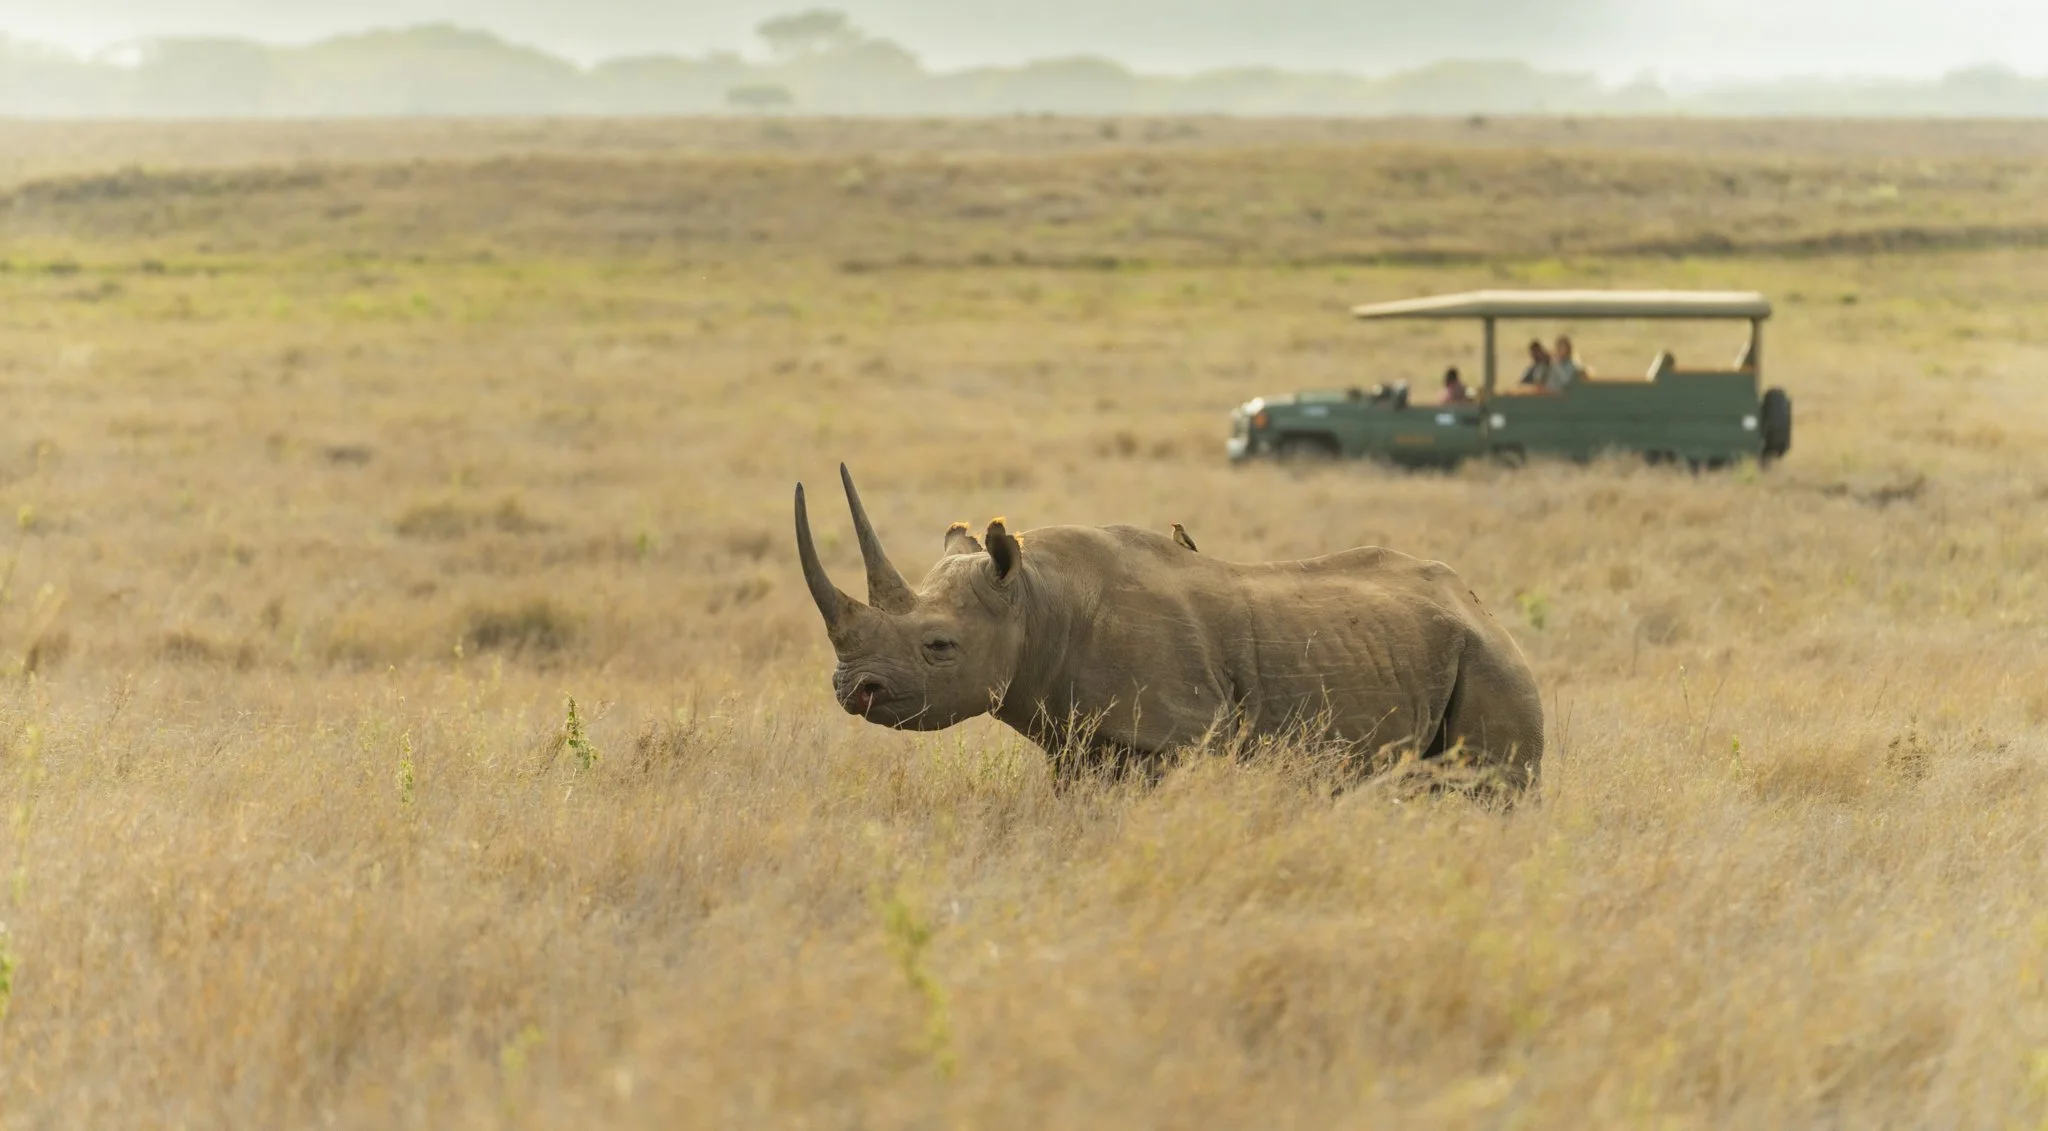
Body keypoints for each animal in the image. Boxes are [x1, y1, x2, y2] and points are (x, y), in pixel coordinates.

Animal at [794, 464, 1545, 791]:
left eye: (939, 646)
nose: (850, 688)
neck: (1035, 602)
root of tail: (1481, 608)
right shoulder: (1078, 739)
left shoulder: (1173, 733)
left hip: (1491, 661)